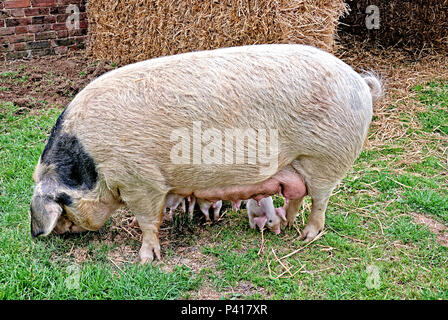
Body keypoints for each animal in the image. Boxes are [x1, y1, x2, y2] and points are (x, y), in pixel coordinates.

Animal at [30, 43, 382, 264]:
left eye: (62, 203)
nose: (38, 234)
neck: (92, 166)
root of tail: (359, 82)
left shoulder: (141, 182)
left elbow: (147, 222)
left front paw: (146, 260)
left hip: (326, 158)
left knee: (320, 201)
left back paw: (306, 237)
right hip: (295, 166)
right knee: (296, 196)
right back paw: (285, 222)